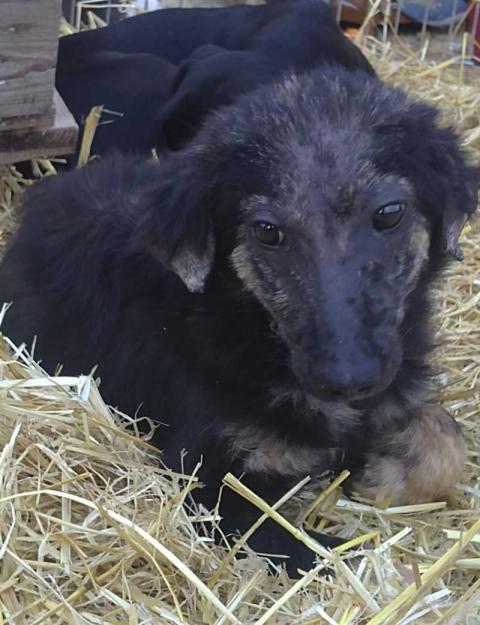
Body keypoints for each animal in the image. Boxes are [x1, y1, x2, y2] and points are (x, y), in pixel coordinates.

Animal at [1, 68, 478, 576]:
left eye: (389, 213)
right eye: (267, 231)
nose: (347, 380)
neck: (255, 330)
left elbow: (447, 434)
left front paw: (384, 471)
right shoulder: (210, 481)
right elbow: (329, 557)